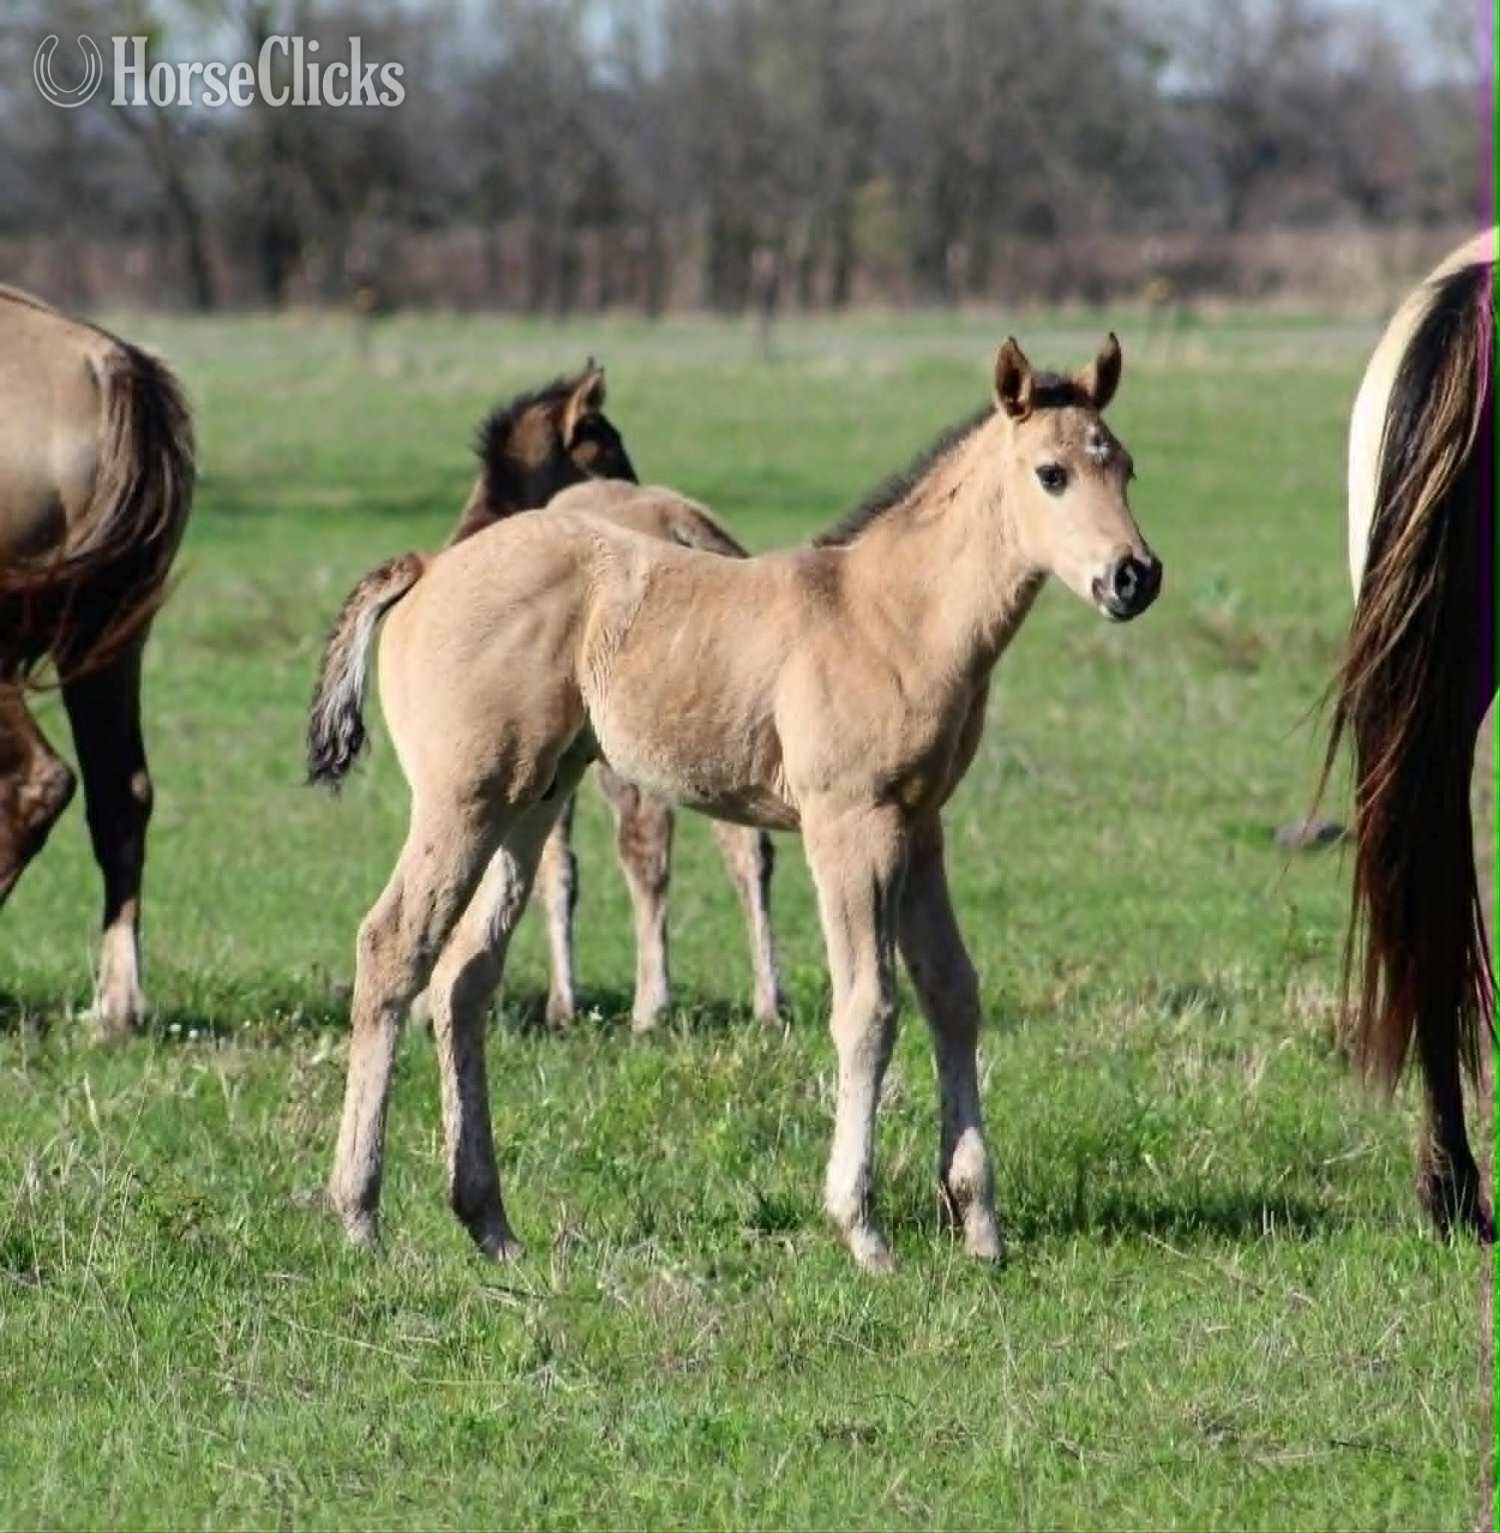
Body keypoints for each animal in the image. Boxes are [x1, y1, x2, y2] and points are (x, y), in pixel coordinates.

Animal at [318, 362, 783, 1031]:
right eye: (606, 446)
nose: (630, 475)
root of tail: (683, 526)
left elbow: (550, 870)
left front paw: (552, 1001)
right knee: (746, 846)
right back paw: (768, 1002)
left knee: (646, 844)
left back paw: (651, 1003)